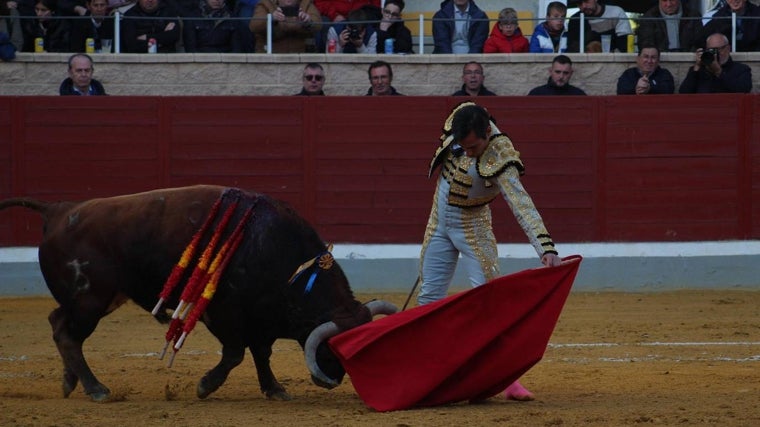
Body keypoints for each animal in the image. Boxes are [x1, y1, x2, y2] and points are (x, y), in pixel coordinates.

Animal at [1, 186, 398, 402]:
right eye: (335, 348)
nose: (335, 379)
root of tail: (58, 210)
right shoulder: (224, 315)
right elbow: (236, 353)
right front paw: (206, 385)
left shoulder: (261, 319)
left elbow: (262, 354)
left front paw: (274, 388)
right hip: (90, 300)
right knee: (67, 334)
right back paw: (96, 388)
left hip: (98, 298)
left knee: (58, 323)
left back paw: (70, 382)